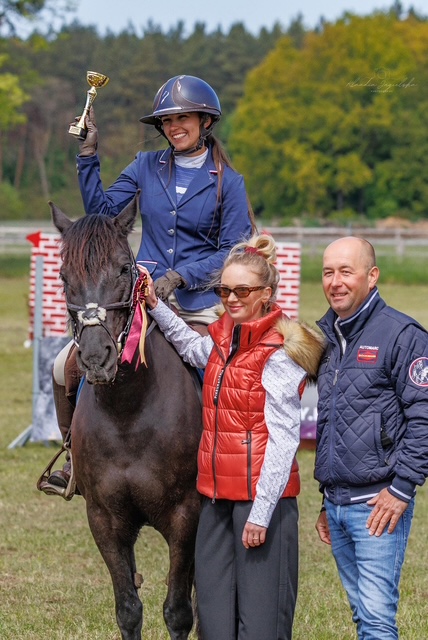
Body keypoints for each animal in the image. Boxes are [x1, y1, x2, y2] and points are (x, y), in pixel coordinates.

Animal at [46, 195, 203, 639]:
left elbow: (178, 611)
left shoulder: (186, 517)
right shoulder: (105, 519)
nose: (96, 358)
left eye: (122, 268)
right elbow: (129, 608)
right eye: (63, 276)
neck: (129, 413)